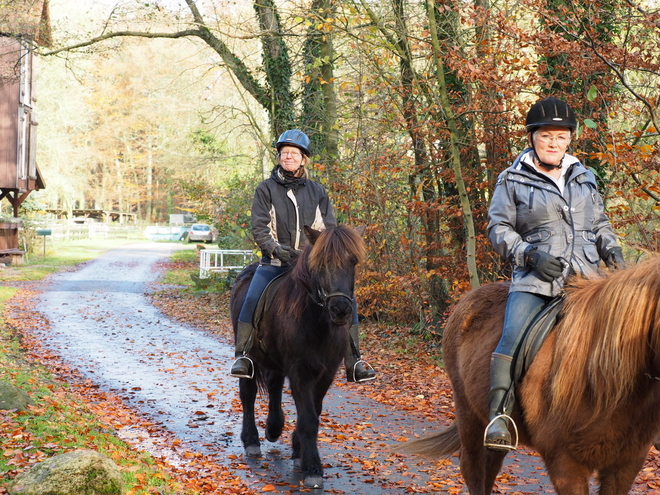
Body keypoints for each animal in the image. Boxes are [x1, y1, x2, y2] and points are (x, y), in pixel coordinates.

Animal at [229, 227, 366, 490]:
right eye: (321, 264)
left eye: (353, 261)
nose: (341, 310)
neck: (316, 322)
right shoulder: (300, 372)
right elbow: (308, 419)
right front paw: (312, 468)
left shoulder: (326, 373)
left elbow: (314, 411)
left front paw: (297, 452)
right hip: (250, 357)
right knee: (248, 393)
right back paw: (251, 440)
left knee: (274, 385)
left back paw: (274, 428)